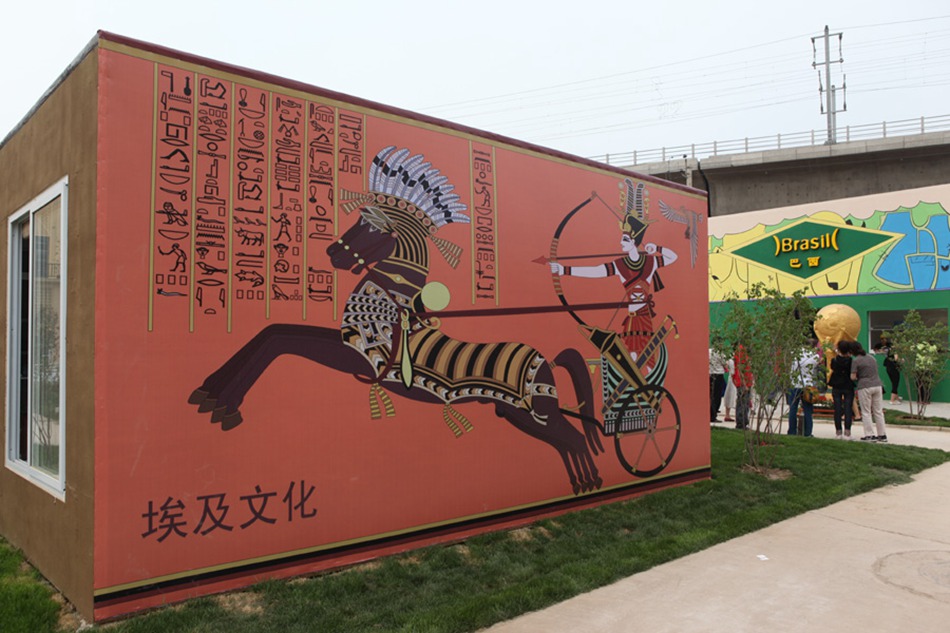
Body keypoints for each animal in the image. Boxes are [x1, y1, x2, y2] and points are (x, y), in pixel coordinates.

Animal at [191, 146, 608, 492]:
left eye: (371, 227)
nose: (332, 254)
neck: (390, 302)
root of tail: (545, 358)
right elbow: (273, 331)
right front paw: (210, 392)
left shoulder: (356, 356)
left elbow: (280, 338)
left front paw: (223, 403)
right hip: (516, 412)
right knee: (568, 440)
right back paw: (582, 484)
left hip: (532, 411)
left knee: (573, 437)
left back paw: (589, 483)